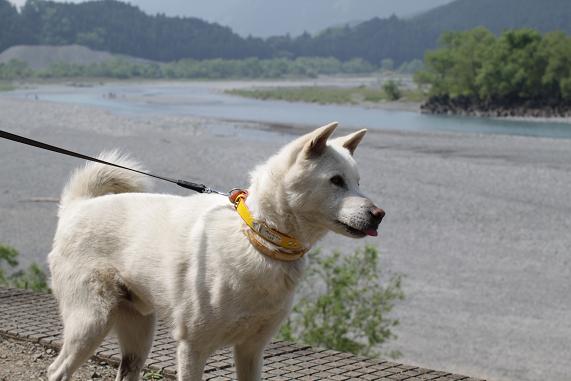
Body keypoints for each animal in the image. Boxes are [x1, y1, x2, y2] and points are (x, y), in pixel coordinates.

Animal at [48, 122, 384, 380]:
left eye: (357, 182)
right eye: (336, 180)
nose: (379, 214)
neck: (259, 238)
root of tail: (77, 206)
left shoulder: (252, 350)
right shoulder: (192, 347)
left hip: (139, 335)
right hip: (90, 322)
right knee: (57, 371)